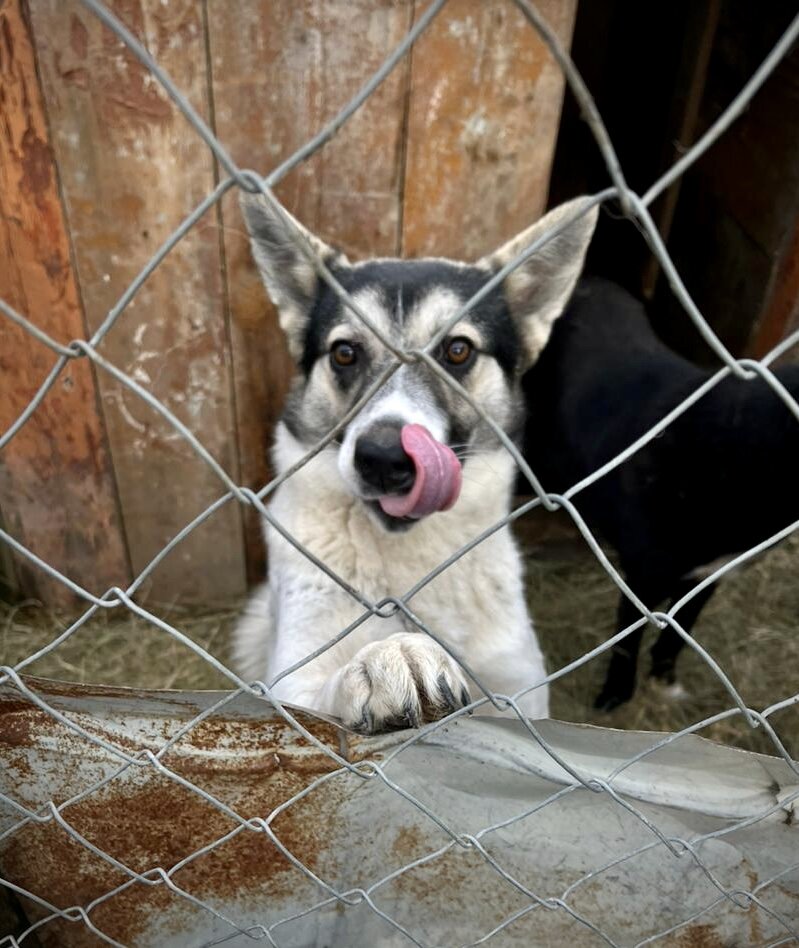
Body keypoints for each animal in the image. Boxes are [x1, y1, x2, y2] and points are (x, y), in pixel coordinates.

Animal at [230, 189, 592, 728]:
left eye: (457, 350)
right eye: (345, 353)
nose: (382, 458)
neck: (407, 567)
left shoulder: (521, 694)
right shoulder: (294, 680)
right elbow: (315, 698)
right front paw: (390, 656)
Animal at [524, 278, 799, 708]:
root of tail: (591, 281)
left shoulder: (709, 575)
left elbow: (678, 632)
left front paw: (665, 679)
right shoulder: (643, 580)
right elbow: (628, 642)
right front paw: (616, 693)